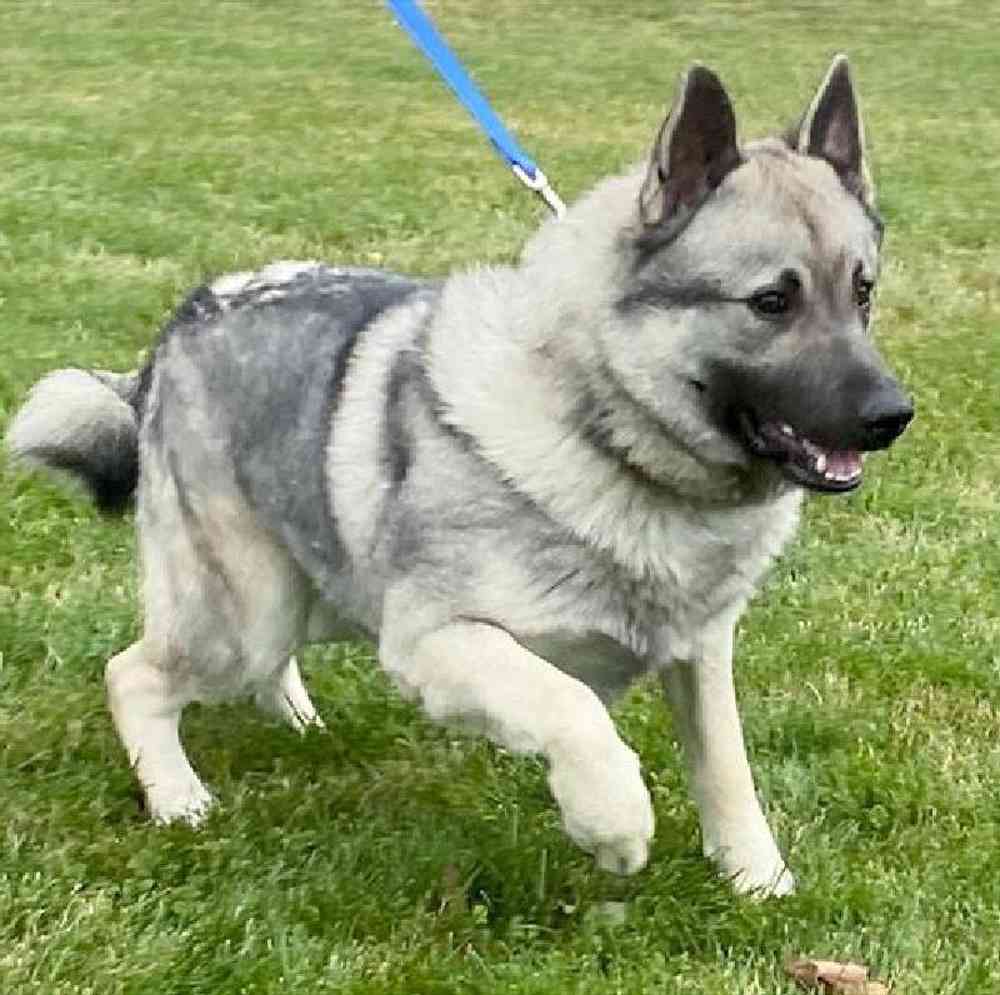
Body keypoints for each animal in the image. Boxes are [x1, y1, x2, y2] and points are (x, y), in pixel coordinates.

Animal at [7, 56, 916, 896]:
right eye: (771, 302)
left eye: (863, 293)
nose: (893, 414)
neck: (602, 428)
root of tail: (177, 324)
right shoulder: (437, 642)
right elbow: (573, 708)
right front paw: (613, 823)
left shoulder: (699, 652)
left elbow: (726, 764)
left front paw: (756, 878)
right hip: (248, 610)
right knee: (135, 674)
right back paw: (177, 797)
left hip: (314, 588)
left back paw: (298, 720)